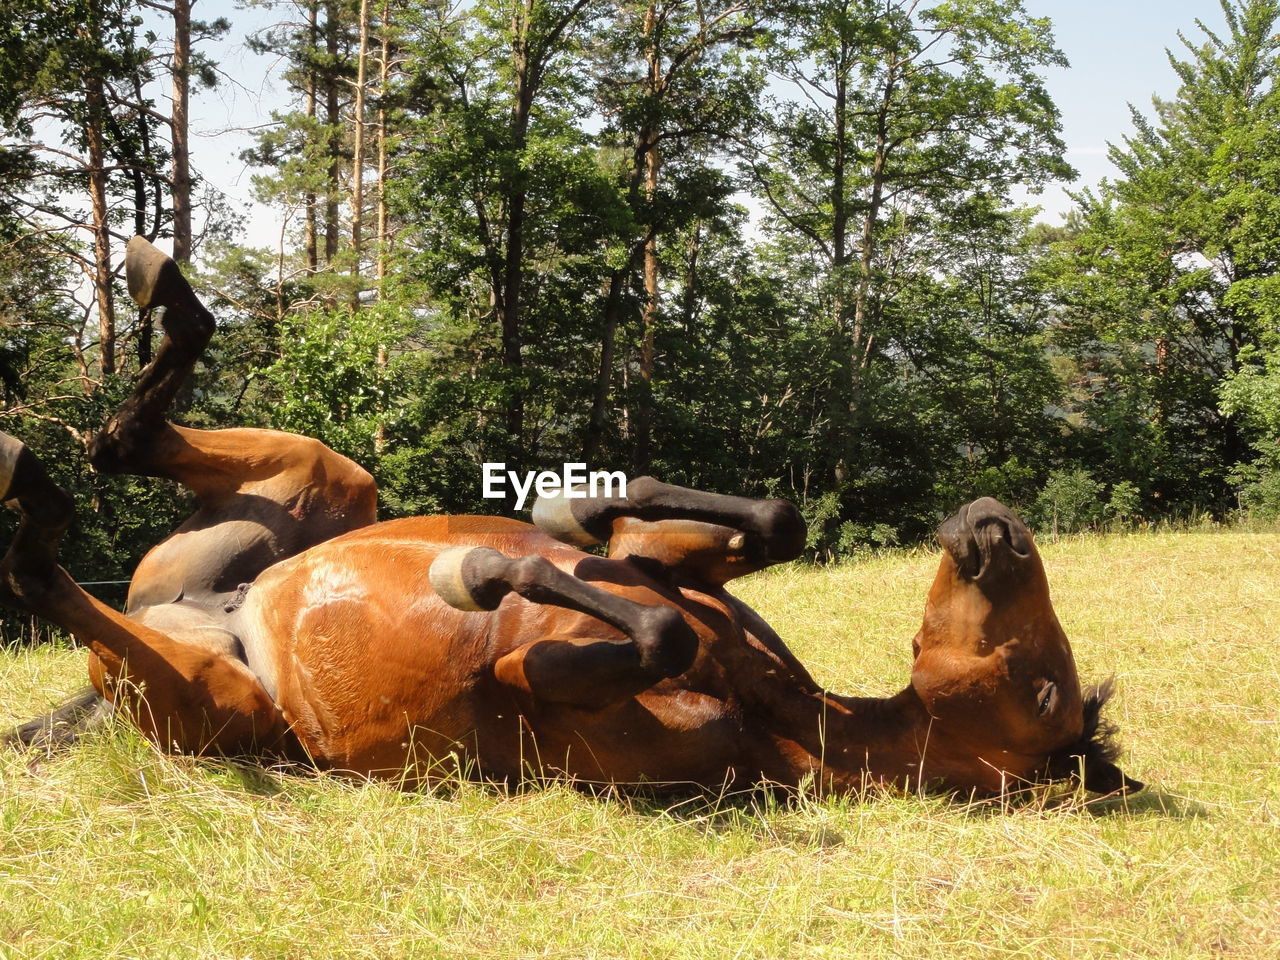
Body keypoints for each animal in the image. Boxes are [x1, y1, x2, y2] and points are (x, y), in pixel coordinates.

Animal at [0, 240, 1141, 798]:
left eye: (1044, 691)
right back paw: (144, 308)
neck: (774, 704)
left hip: (215, 699)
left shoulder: (553, 689)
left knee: (47, 570)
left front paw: (480, 572)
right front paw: (568, 509)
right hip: (329, 479)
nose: (998, 527)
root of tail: (212, 616)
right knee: (126, 439)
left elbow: (649, 628)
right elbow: (756, 526)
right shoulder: (668, 561)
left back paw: (33, 493)